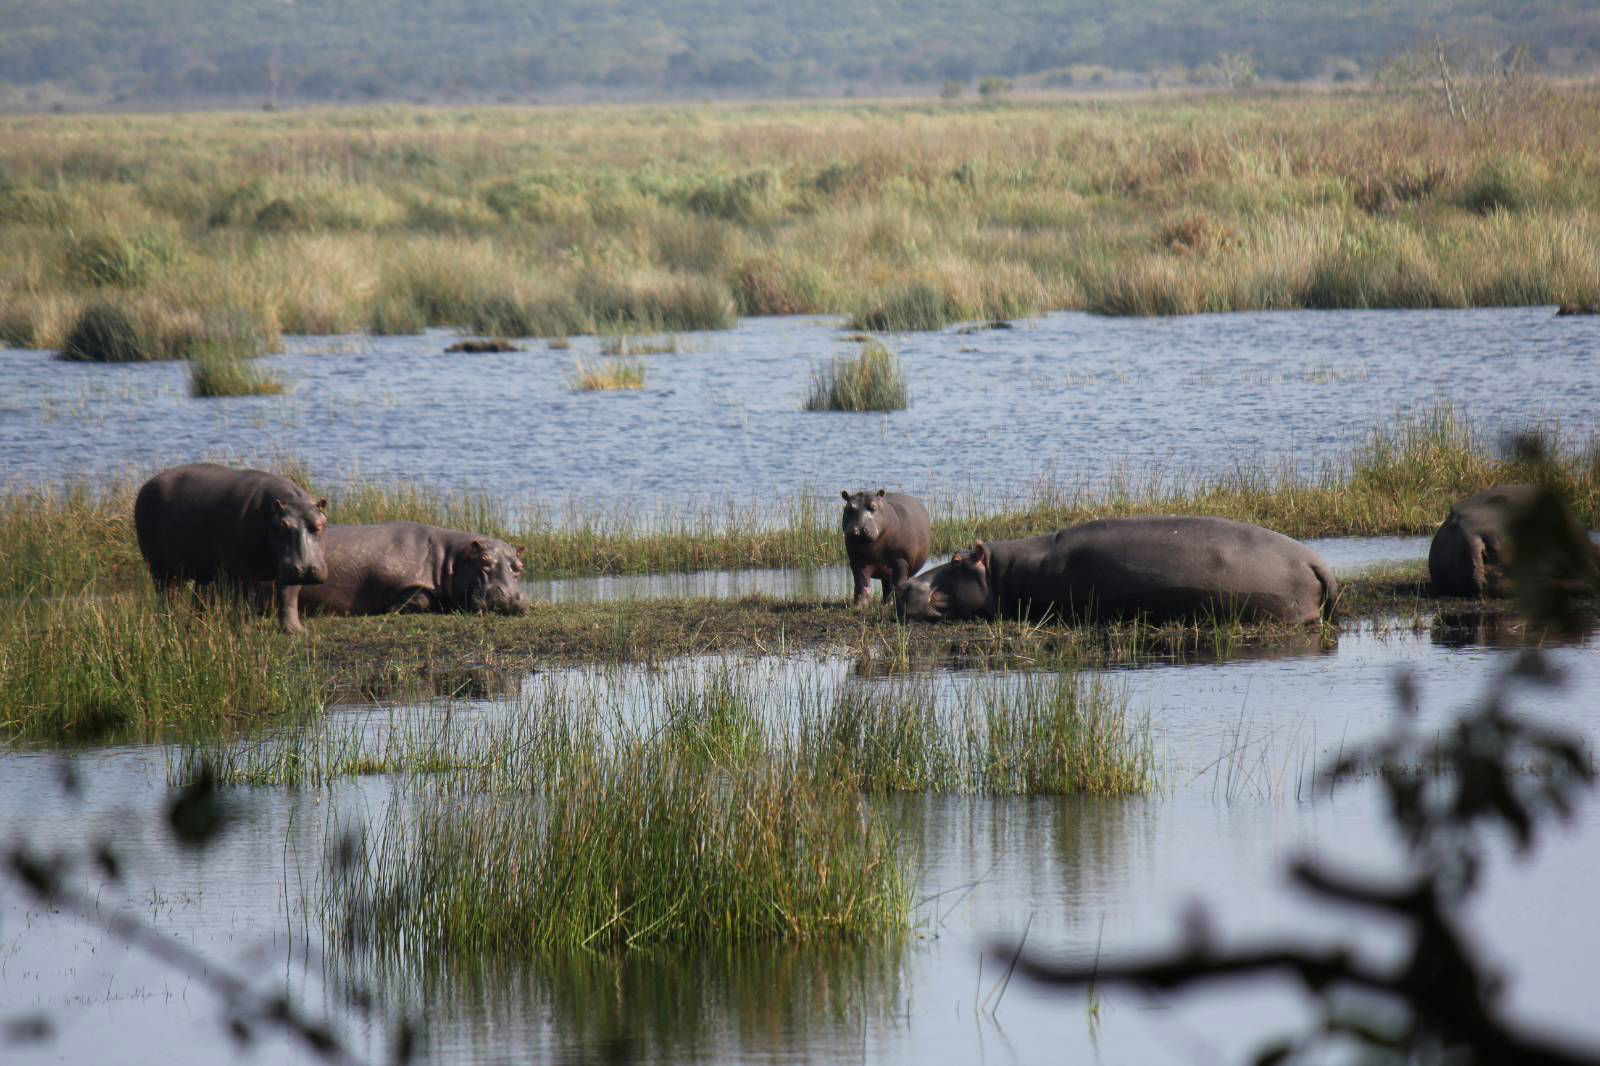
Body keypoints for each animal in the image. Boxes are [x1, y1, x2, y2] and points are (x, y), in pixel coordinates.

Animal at [135, 457, 328, 630]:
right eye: (282, 525)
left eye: (320, 524)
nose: (306, 568)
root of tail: (146, 484)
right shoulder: (243, 572)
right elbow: (245, 603)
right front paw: (245, 631)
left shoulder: (288, 571)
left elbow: (289, 596)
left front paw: (296, 630)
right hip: (161, 568)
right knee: (168, 595)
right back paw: (168, 623)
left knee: (195, 597)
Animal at [291, 515, 528, 614]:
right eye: (484, 560)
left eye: (519, 565)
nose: (511, 597)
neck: (451, 558)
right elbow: (420, 598)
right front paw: (392, 609)